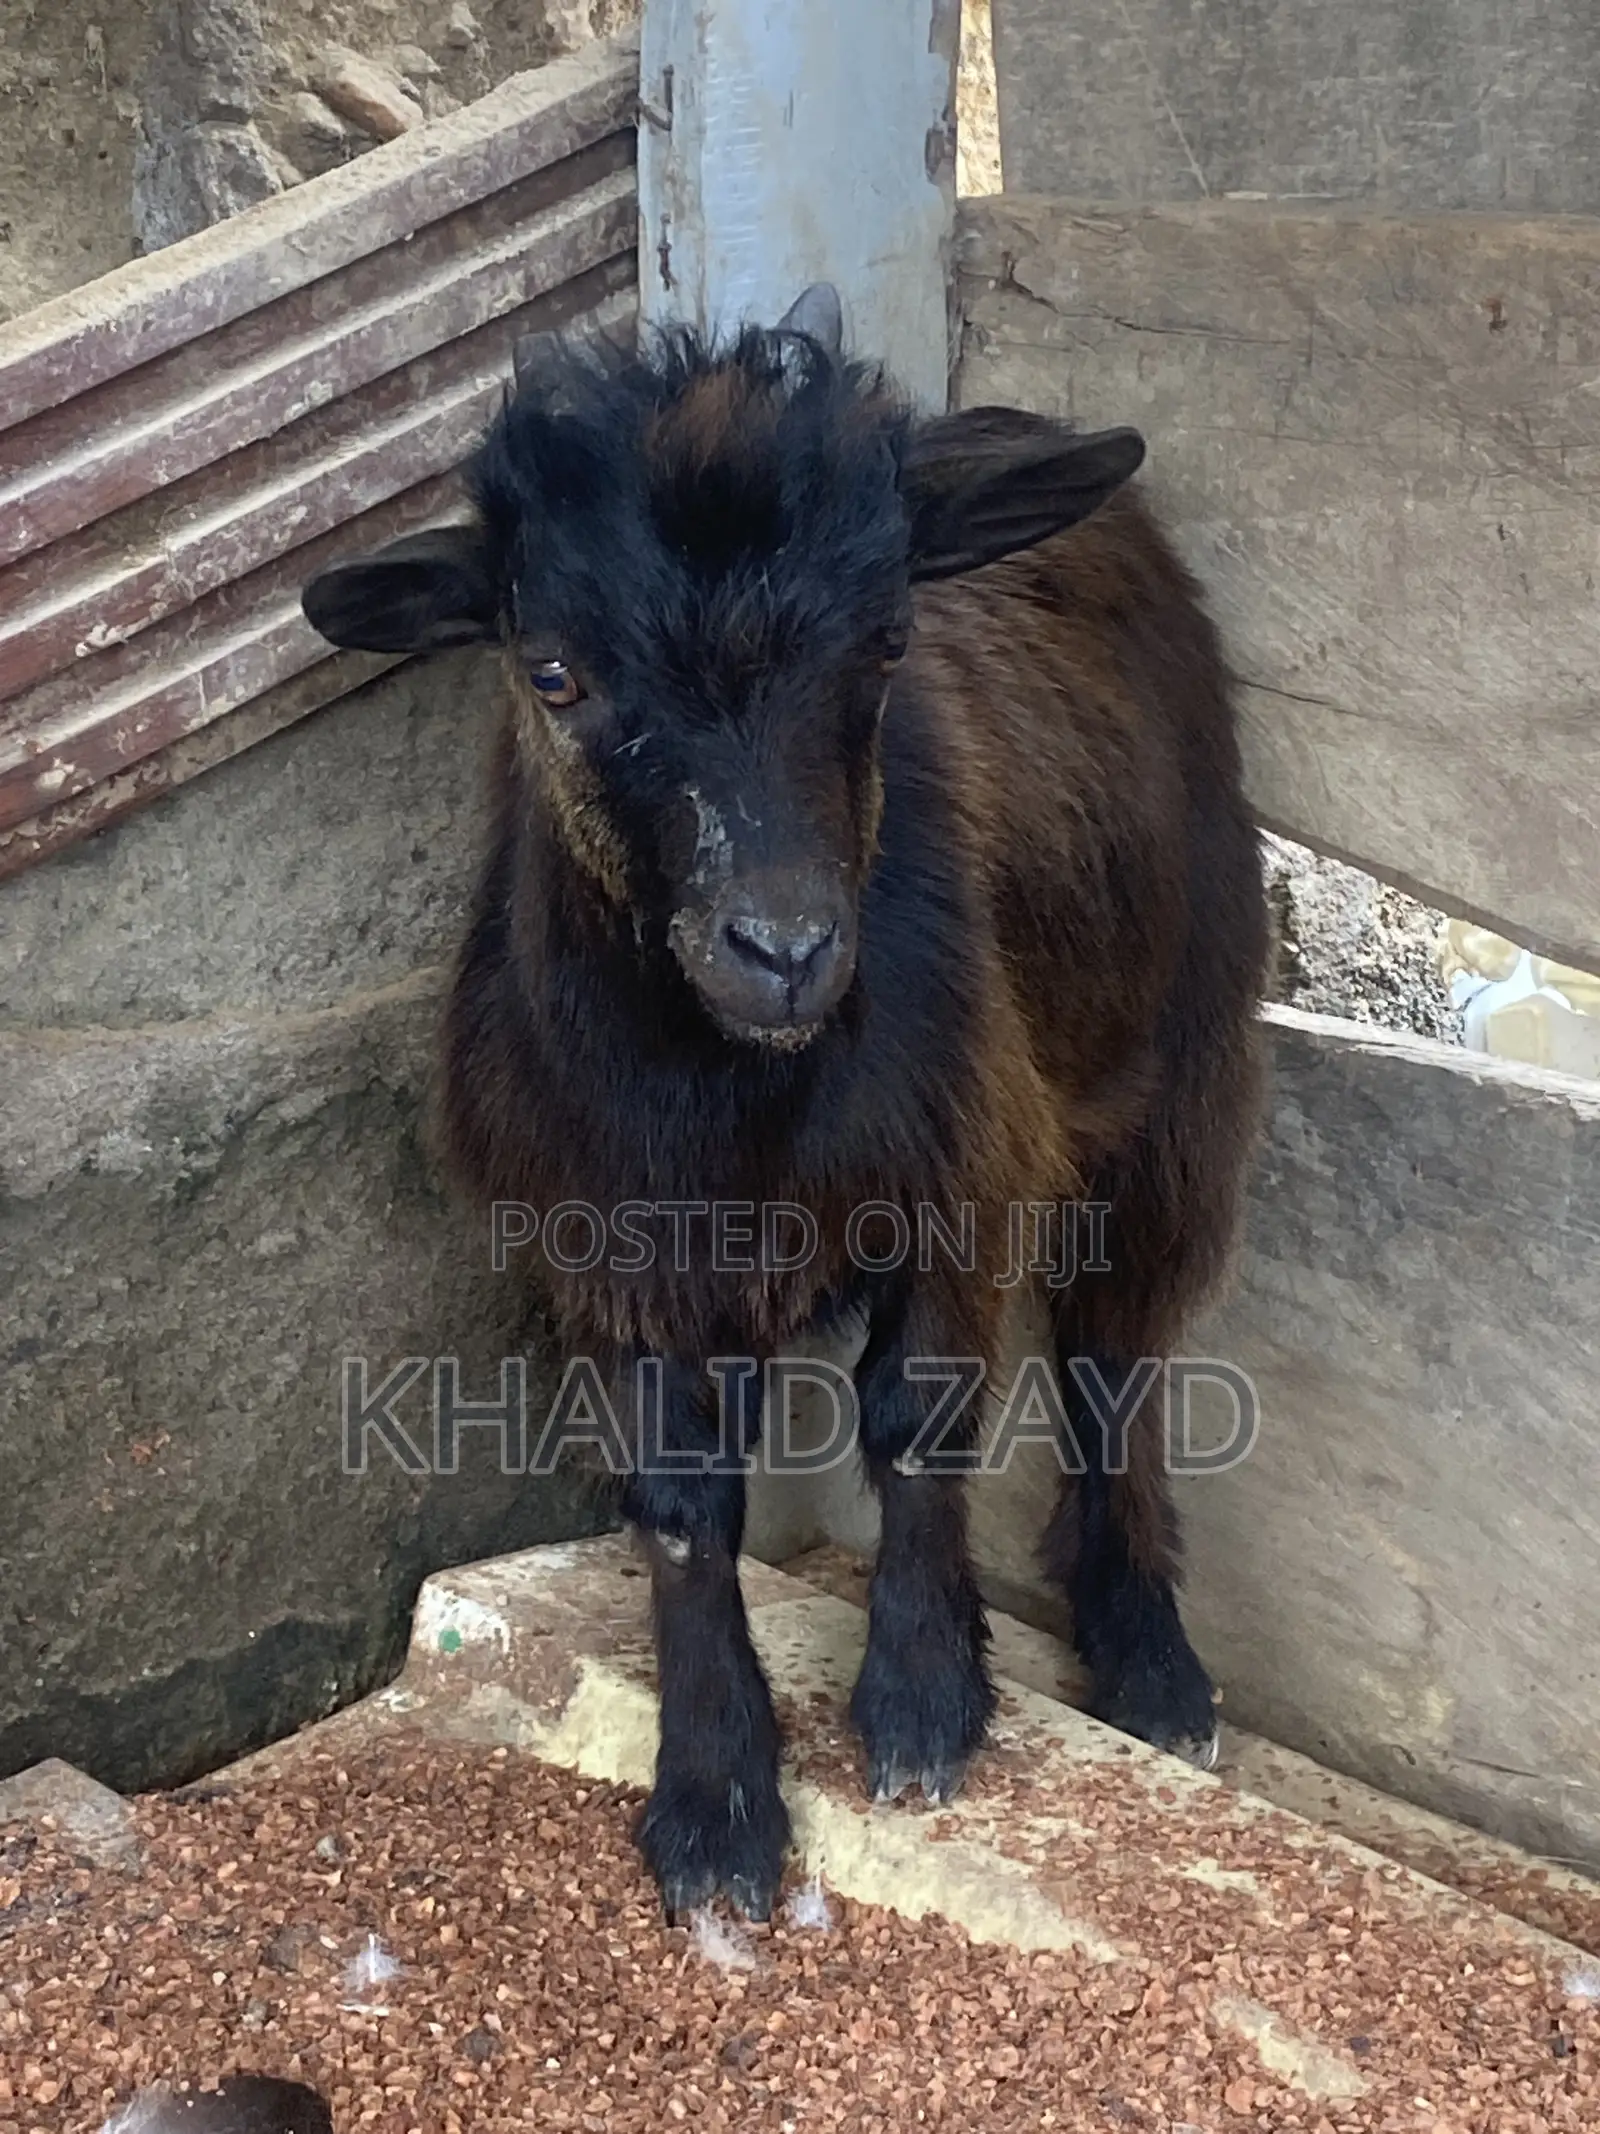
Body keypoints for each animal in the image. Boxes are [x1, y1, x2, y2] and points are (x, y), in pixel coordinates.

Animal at [301, 284, 1268, 1921]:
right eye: (553, 671)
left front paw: (925, 1706)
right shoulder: (610, 1240)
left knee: (1113, 1358)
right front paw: (714, 1805)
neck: (732, 1088)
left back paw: (1151, 1657)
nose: (785, 948)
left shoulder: (961, 1165)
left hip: (1184, 1065)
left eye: (886, 643)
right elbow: (686, 1506)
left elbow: (918, 1421)